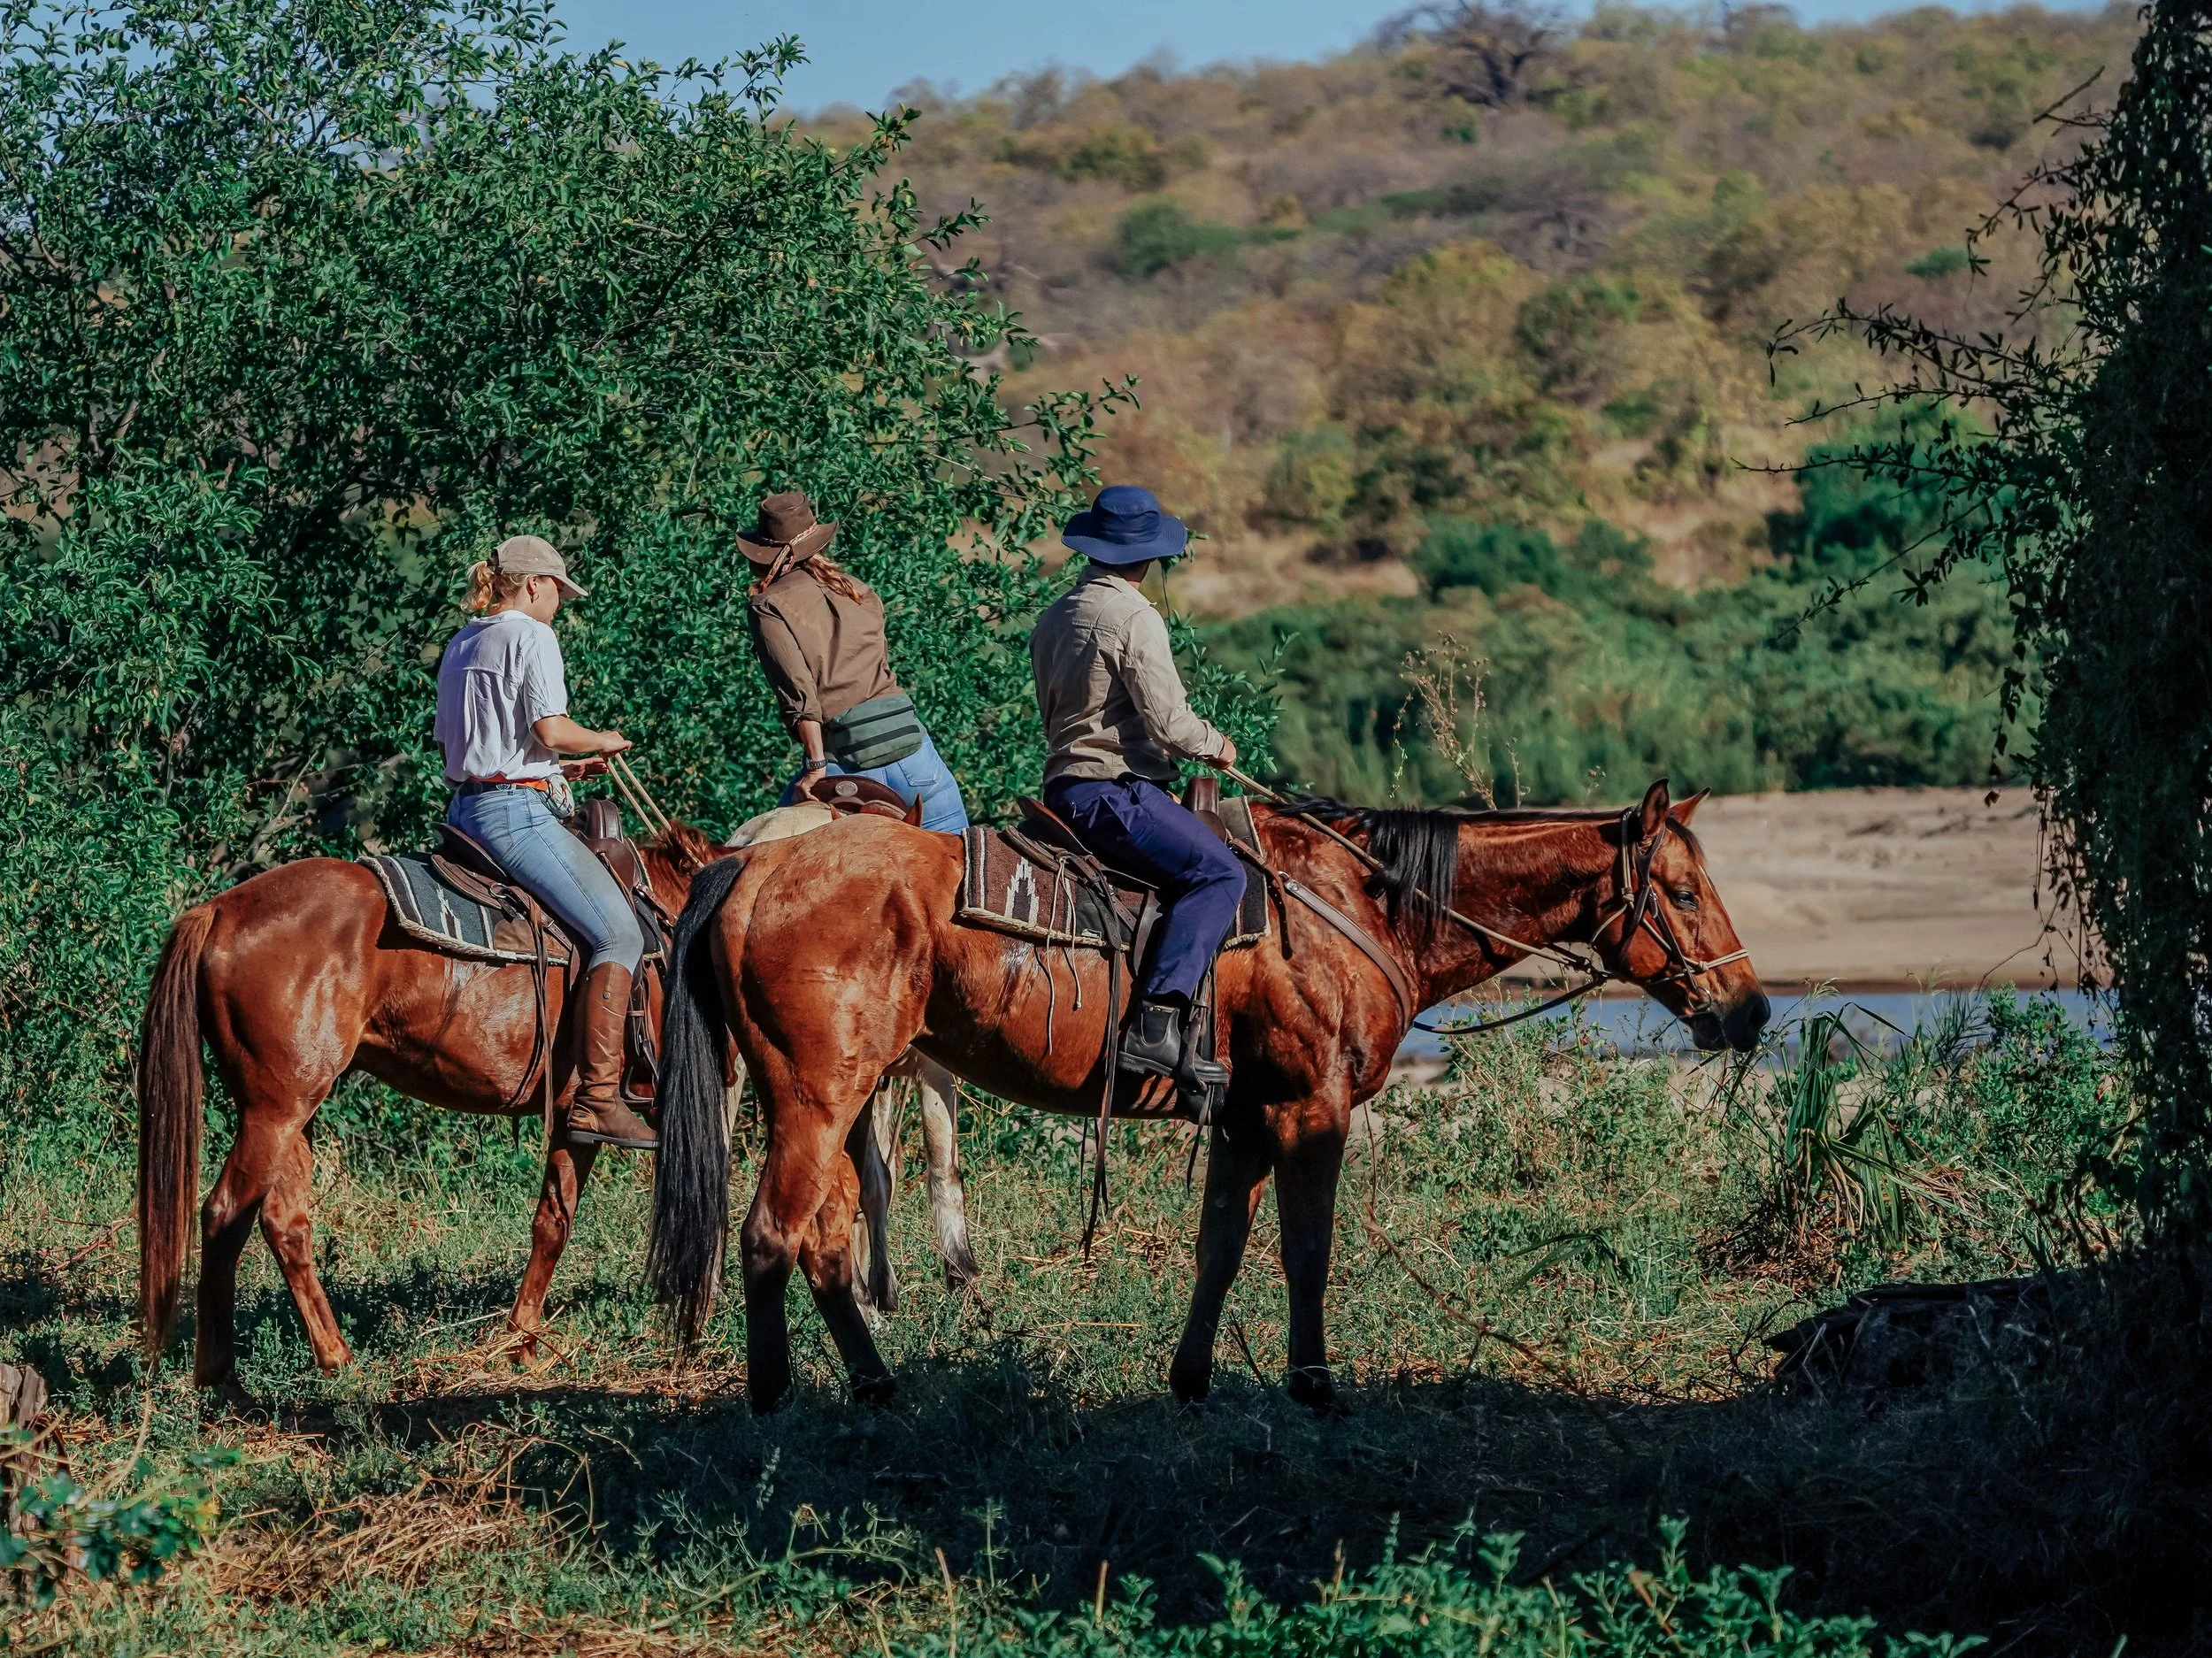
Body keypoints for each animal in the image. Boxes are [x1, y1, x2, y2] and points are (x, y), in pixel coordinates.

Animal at [137, 820, 723, 1393]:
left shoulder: (572, 1120)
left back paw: (338, 1360)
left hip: (287, 1113)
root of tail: (218, 910)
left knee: (284, 1222)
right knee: (223, 1215)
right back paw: (224, 1384)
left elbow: (552, 1221)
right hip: (275, 1111)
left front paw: (522, 1345)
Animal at [646, 778, 1769, 1414]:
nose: (1751, 1009)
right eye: (1678, 890)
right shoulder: (1311, 1109)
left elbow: (1221, 1246)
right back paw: (772, 1394)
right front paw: (1314, 1383)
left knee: (825, 1241)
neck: (1356, 906)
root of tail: (754, 866)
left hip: (832, 1097)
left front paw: (1190, 1380)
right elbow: (1306, 1251)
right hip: (818, 1095)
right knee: (769, 1233)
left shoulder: (1242, 1118)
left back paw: (875, 1385)